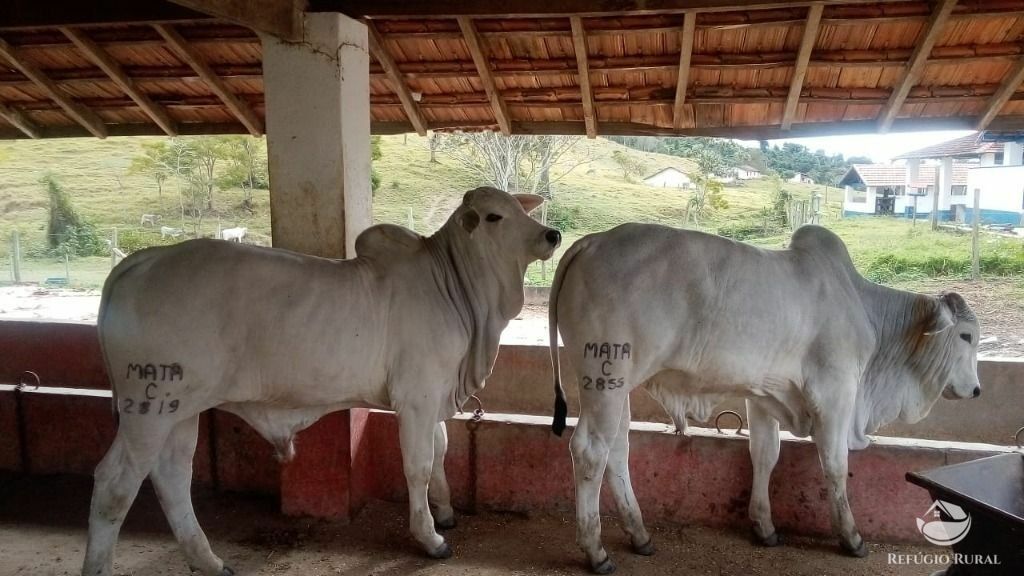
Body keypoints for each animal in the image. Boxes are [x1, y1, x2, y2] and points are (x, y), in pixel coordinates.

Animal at [81, 187, 561, 573]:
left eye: (520, 207)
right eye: (495, 216)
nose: (552, 235)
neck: (458, 291)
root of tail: (143, 259)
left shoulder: (436, 395)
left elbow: (441, 451)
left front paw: (444, 512)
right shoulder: (418, 398)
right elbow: (419, 465)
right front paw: (430, 537)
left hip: (182, 408)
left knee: (173, 476)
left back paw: (209, 561)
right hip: (149, 409)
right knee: (115, 485)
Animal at [548, 222, 978, 569]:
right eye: (967, 335)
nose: (975, 389)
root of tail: (591, 241)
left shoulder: (765, 396)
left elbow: (765, 455)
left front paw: (764, 526)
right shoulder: (836, 393)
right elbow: (836, 466)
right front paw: (851, 537)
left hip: (617, 386)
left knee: (617, 450)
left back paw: (639, 534)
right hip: (605, 378)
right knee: (590, 451)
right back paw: (596, 550)